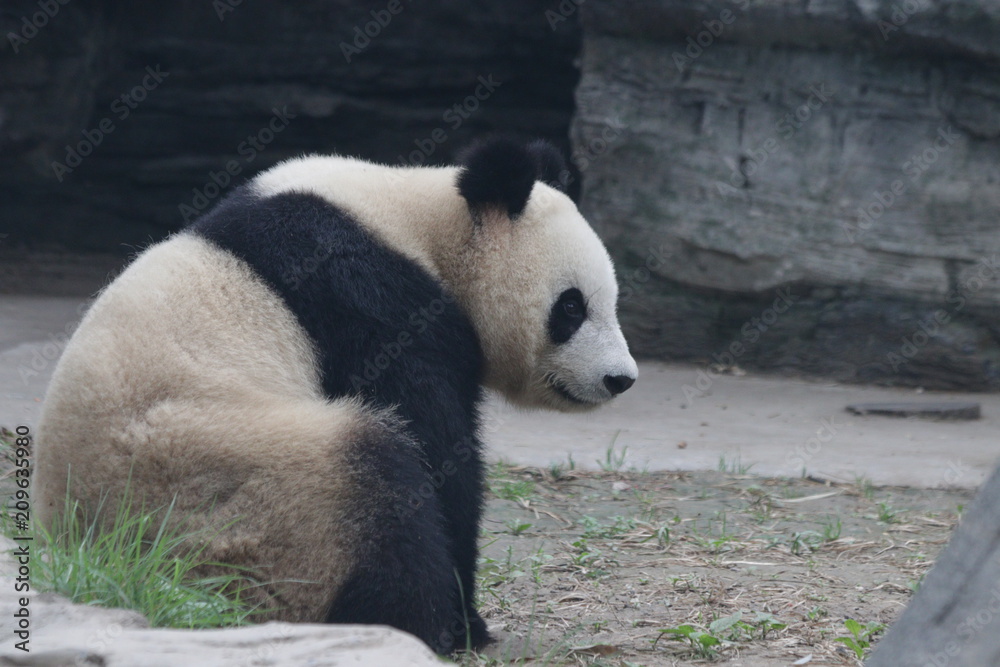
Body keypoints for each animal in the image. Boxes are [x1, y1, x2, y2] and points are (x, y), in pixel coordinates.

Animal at [32, 137, 638, 653]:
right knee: (372, 481)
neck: (418, 222)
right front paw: (469, 621)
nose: (621, 379)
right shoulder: (369, 301)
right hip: (223, 492)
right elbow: (435, 450)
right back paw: (415, 624)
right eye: (571, 307)